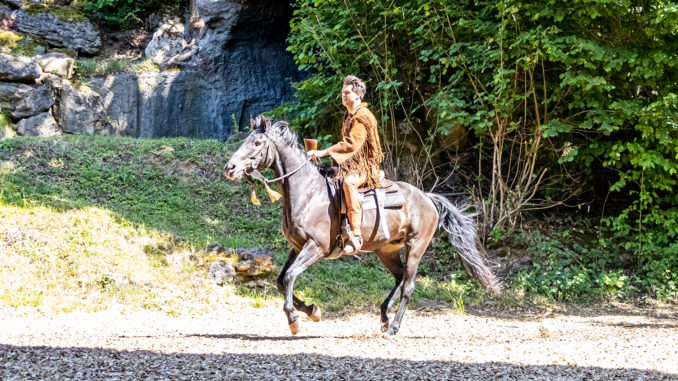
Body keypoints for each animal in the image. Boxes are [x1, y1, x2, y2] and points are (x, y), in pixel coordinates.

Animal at [226, 115, 502, 336]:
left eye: (257, 143)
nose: (230, 167)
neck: (308, 192)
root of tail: (427, 198)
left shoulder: (315, 247)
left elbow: (291, 276)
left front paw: (294, 318)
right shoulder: (296, 247)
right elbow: (282, 280)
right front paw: (313, 310)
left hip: (416, 246)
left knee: (408, 286)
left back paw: (393, 327)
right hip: (387, 250)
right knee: (400, 278)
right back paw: (384, 315)